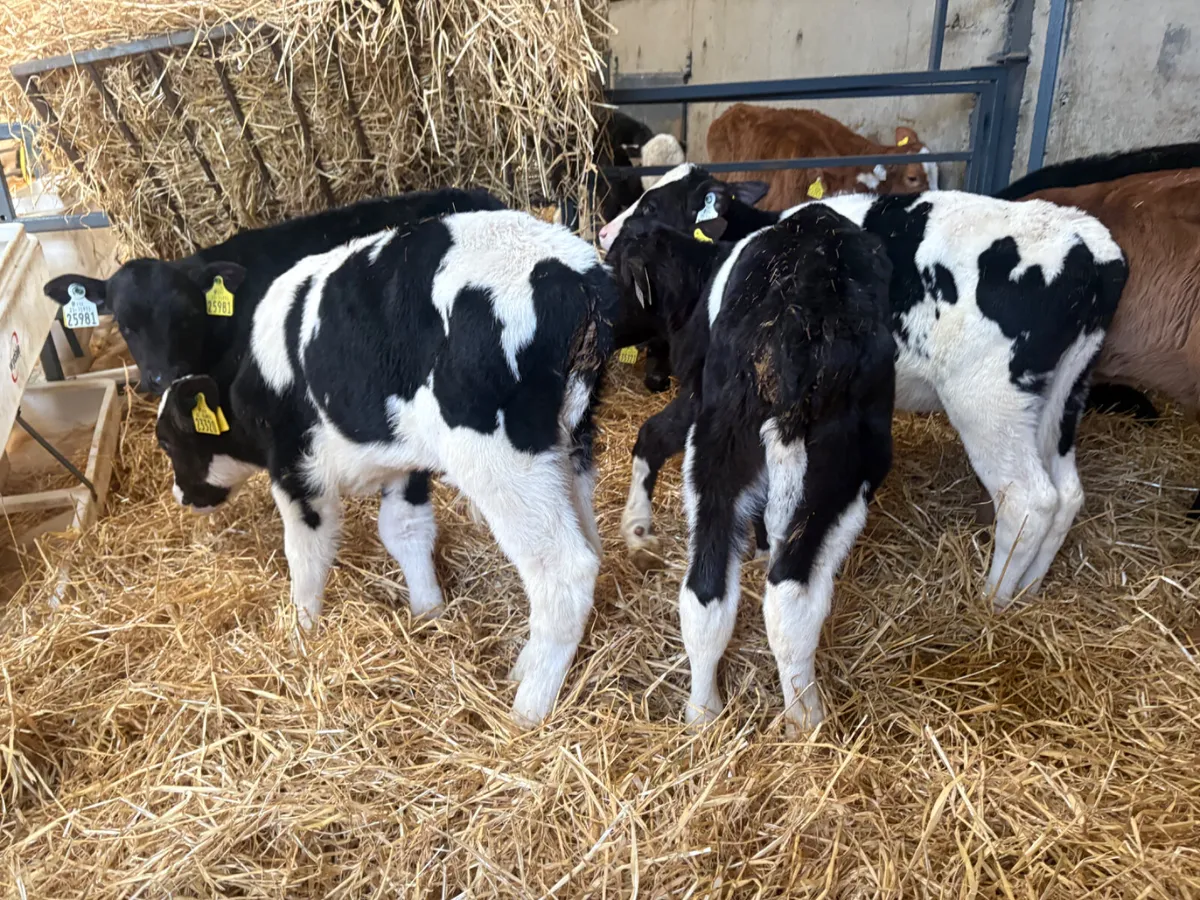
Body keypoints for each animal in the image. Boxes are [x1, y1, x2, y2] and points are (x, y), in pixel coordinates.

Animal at [155, 209, 617, 728]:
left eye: (168, 440)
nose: (180, 495)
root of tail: (576, 272)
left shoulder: (294, 466)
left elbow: (306, 553)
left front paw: (301, 630)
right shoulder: (403, 459)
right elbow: (405, 531)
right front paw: (429, 610)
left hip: (499, 457)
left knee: (565, 568)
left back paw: (527, 709)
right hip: (571, 444)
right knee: (591, 544)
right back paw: (527, 666)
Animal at [603, 164, 1128, 608]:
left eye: (650, 206)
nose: (605, 233)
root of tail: (1093, 247)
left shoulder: (713, 383)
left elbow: (654, 436)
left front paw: (639, 531)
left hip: (988, 400)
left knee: (1029, 501)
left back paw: (992, 601)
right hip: (1063, 395)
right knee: (1067, 495)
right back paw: (1028, 593)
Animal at [608, 205, 895, 731]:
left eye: (615, 273)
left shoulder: (697, 397)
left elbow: (653, 435)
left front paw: (638, 530)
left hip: (723, 442)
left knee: (706, 590)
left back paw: (704, 713)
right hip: (841, 464)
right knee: (786, 592)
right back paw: (803, 718)